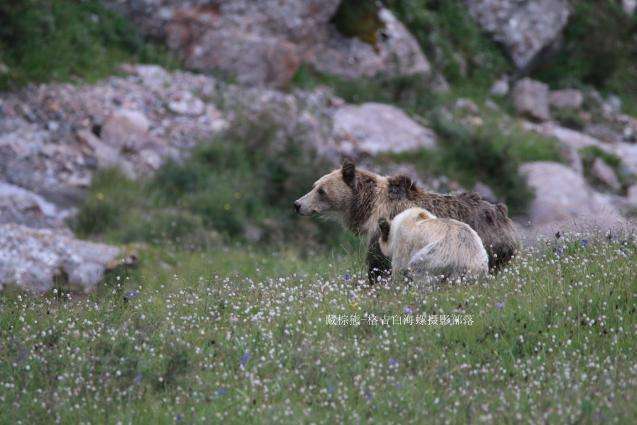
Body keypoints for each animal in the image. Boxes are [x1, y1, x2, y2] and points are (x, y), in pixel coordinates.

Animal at [294, 159, 516, 282]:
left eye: (321, 190)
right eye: (314, 185)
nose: (297, 204)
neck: (369, 205)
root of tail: (501, 212)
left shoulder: (387, 227)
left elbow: (378, 263)